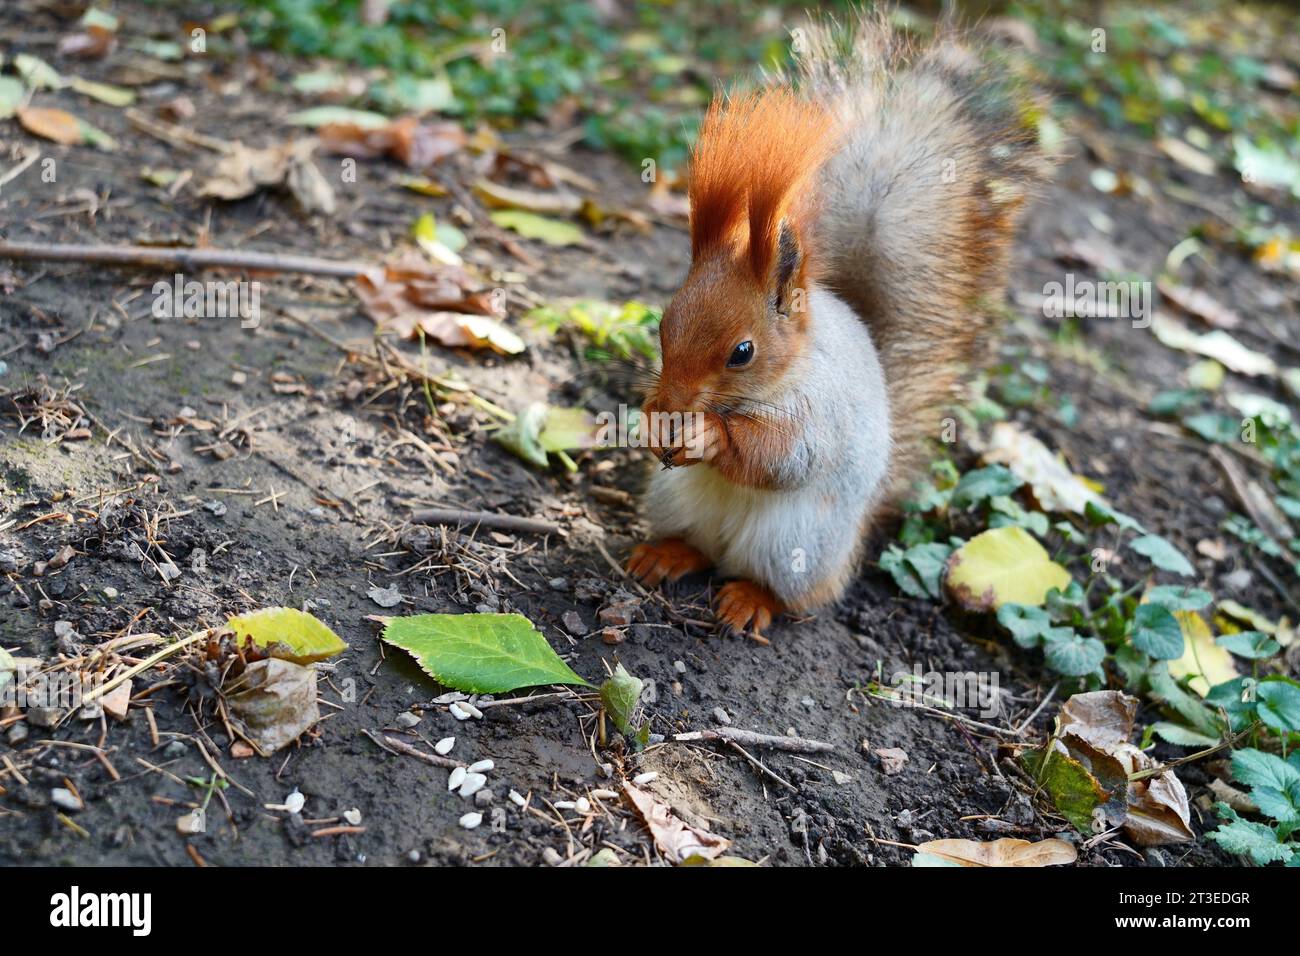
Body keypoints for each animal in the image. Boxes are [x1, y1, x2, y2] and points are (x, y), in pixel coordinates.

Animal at [627, 13, 1053, 642]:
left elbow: (783, 456)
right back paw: (666, 554)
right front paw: (653, 419)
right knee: (700, 548)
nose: (675, 402)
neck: (783, 372)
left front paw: (709, 435)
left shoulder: (821, 410)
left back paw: (750, 600)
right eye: (663, 322)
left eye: (742, 352)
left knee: (795, 591)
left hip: (798, 543)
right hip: (673, 499)